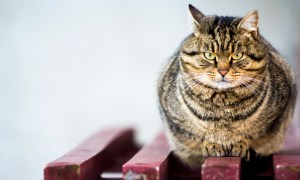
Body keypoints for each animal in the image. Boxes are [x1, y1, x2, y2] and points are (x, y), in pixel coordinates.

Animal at [158, 3, 296, 167]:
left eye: (237, 55)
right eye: (209, 55)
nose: (223, 71)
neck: (222, 102)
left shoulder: (279, 115)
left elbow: (255, 135)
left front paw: (240, 144)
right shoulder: (174, 121)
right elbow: (196, 136)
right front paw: (211, 144)